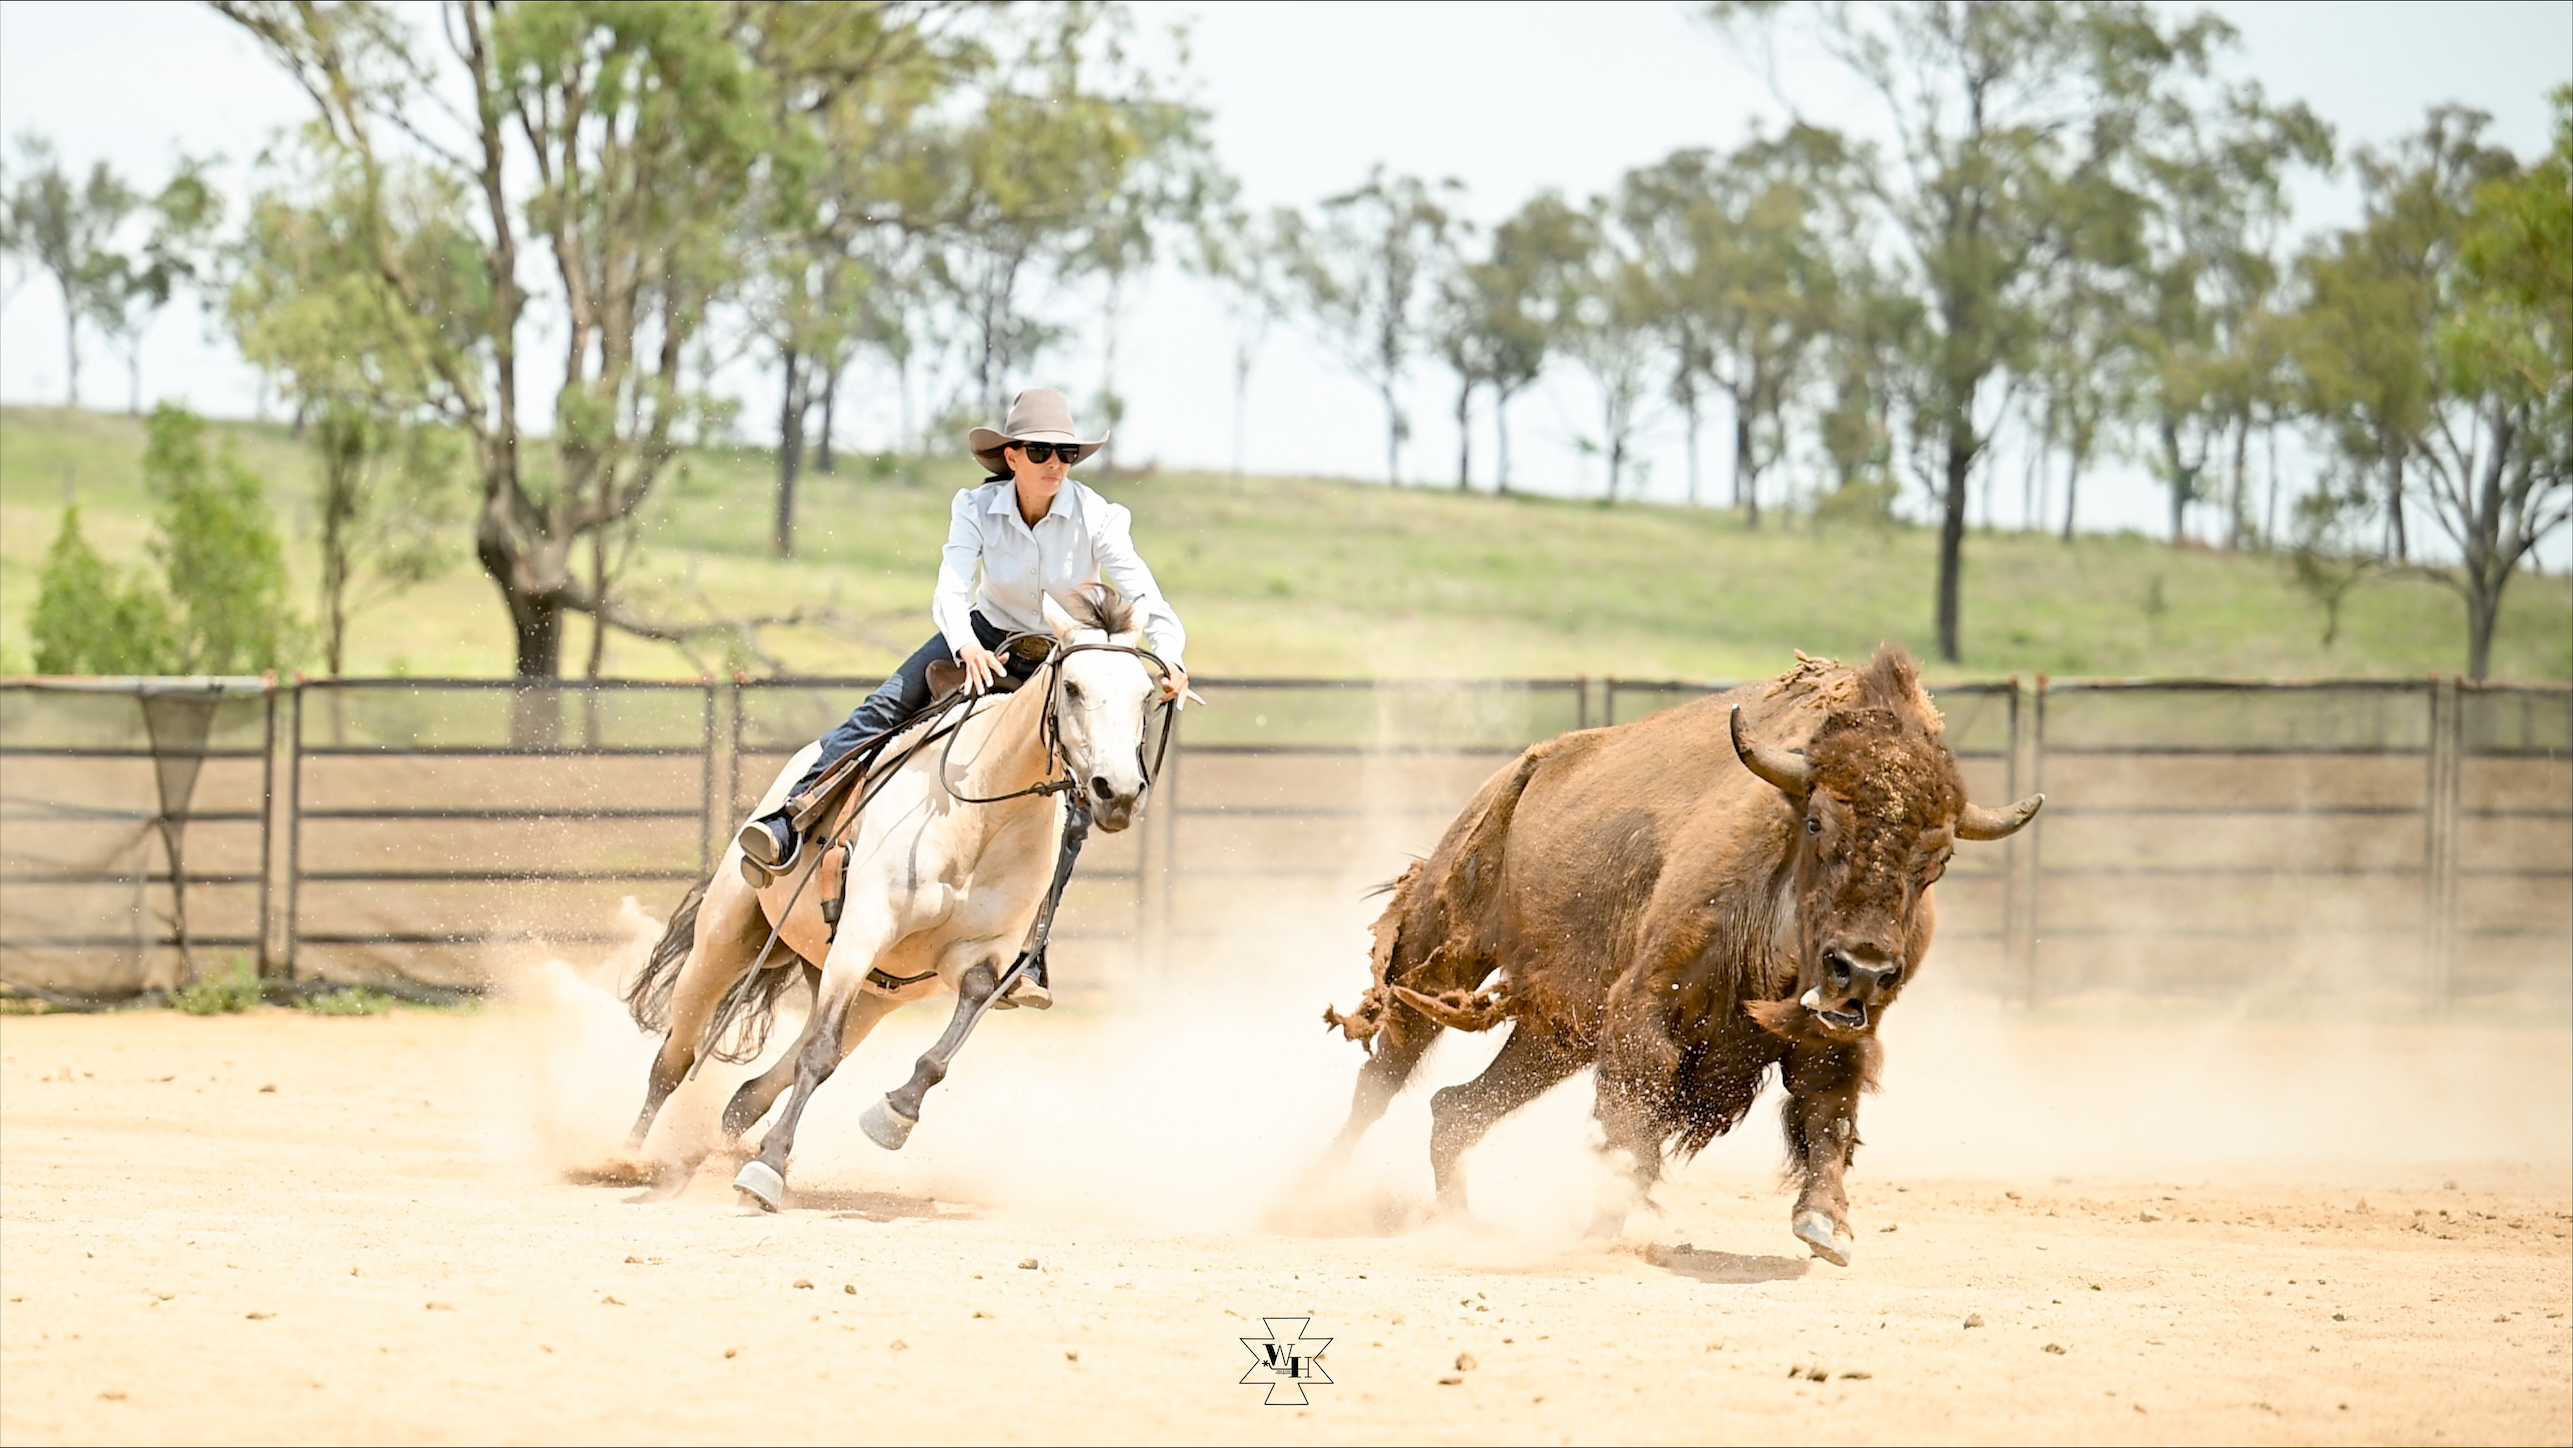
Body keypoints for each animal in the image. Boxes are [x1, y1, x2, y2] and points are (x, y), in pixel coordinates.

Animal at [618, 587, 1171, 1210]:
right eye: (1072, 687)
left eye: (1146, 694)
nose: (1117, 792)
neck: (979, 814)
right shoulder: (862, 933)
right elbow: (817, 1054)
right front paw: (765, 1173)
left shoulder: (976, 956)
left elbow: (945, 1036)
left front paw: (893, 1116)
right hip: (728, 937)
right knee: (676, 1058)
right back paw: (627, 1159)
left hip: (873, 997)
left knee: (753, 1090)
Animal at [1318, 646, 2041, 1264]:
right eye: (1816, 823)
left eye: (1937, 860)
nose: (1860, 969)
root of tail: (1517, 772)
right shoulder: (1644, 1009)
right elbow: (1632, 1117)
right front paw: (1605, 1222)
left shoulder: (1838, 1039)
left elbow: (1828, 1117)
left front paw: (1825, 1227)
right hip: (1437, 957)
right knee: (1383, 1078)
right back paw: (1314, 1194)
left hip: (1556, 1035)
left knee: (1457, 1106)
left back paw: (1457, 1220)